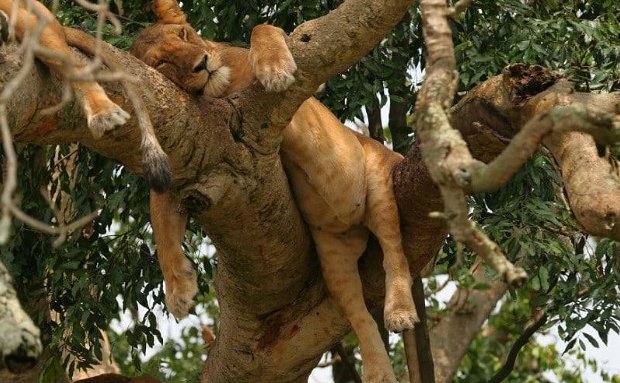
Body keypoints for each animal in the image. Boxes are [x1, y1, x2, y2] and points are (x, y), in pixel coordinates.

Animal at [134, 1, 416, 382]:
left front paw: (275, 68)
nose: (201, 64)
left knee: (394, 252)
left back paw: (400, 311)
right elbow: (161, 223)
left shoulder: (303, 94)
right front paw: (178, 287)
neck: (219, 90)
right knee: (359, 315)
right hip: (334, 260)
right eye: (162, 62)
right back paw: (378, 371)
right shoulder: (183, 150)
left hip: (380, 183)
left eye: (183, 34)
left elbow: (262, 29)